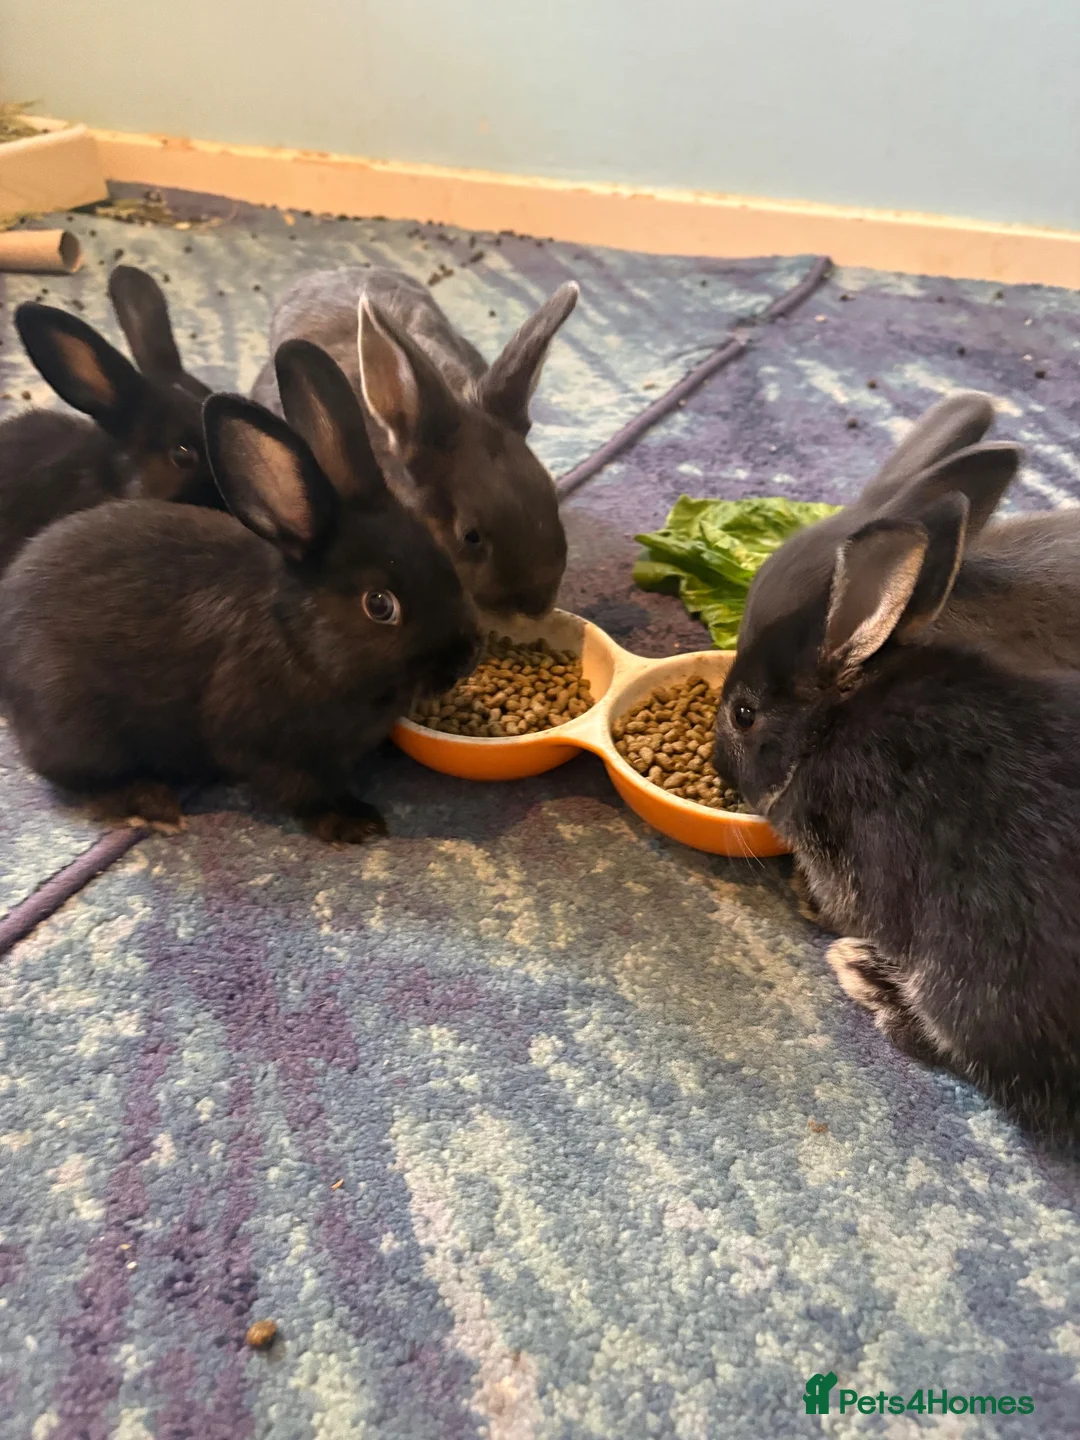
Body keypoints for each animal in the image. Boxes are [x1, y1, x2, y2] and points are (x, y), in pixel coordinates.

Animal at [0, 339, 480, 843]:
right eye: (380, 605)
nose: (466, 657)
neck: (296, 637)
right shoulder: (260, 744)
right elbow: (301, 789)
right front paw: (355, 823)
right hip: (78, 727)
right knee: (74, 778)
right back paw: (153, 805)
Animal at [714, 493, 1080, 1139]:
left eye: (744, 714)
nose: (713, 762)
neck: (827, 725)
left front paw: (808, 901)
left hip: (973, 980)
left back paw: (866, 976)